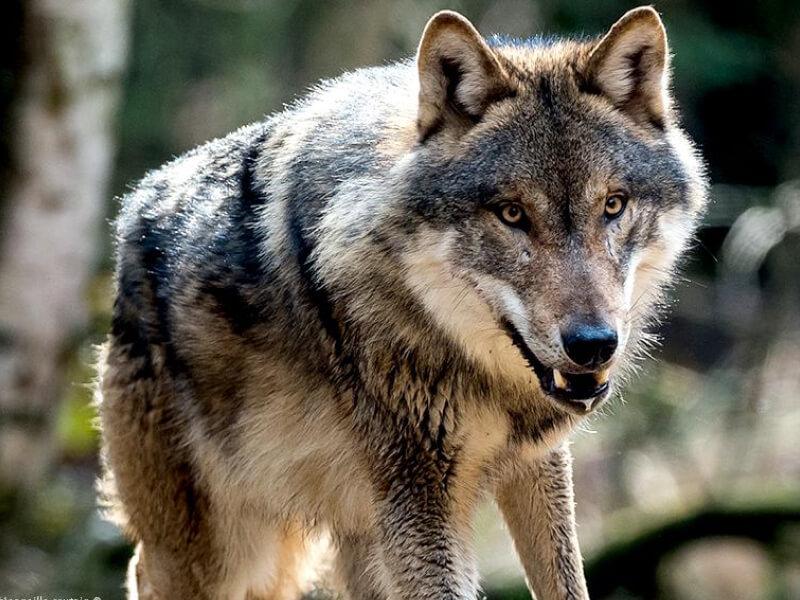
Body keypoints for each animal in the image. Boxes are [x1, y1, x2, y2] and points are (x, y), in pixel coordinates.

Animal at [98, 6, 707, 599]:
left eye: (613, 205)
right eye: (511, 214)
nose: (594, 345)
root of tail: (132, 211)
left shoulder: (536, 465)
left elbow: (568, 583)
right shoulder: (419, 497)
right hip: (224, 552)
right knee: (144, 570)